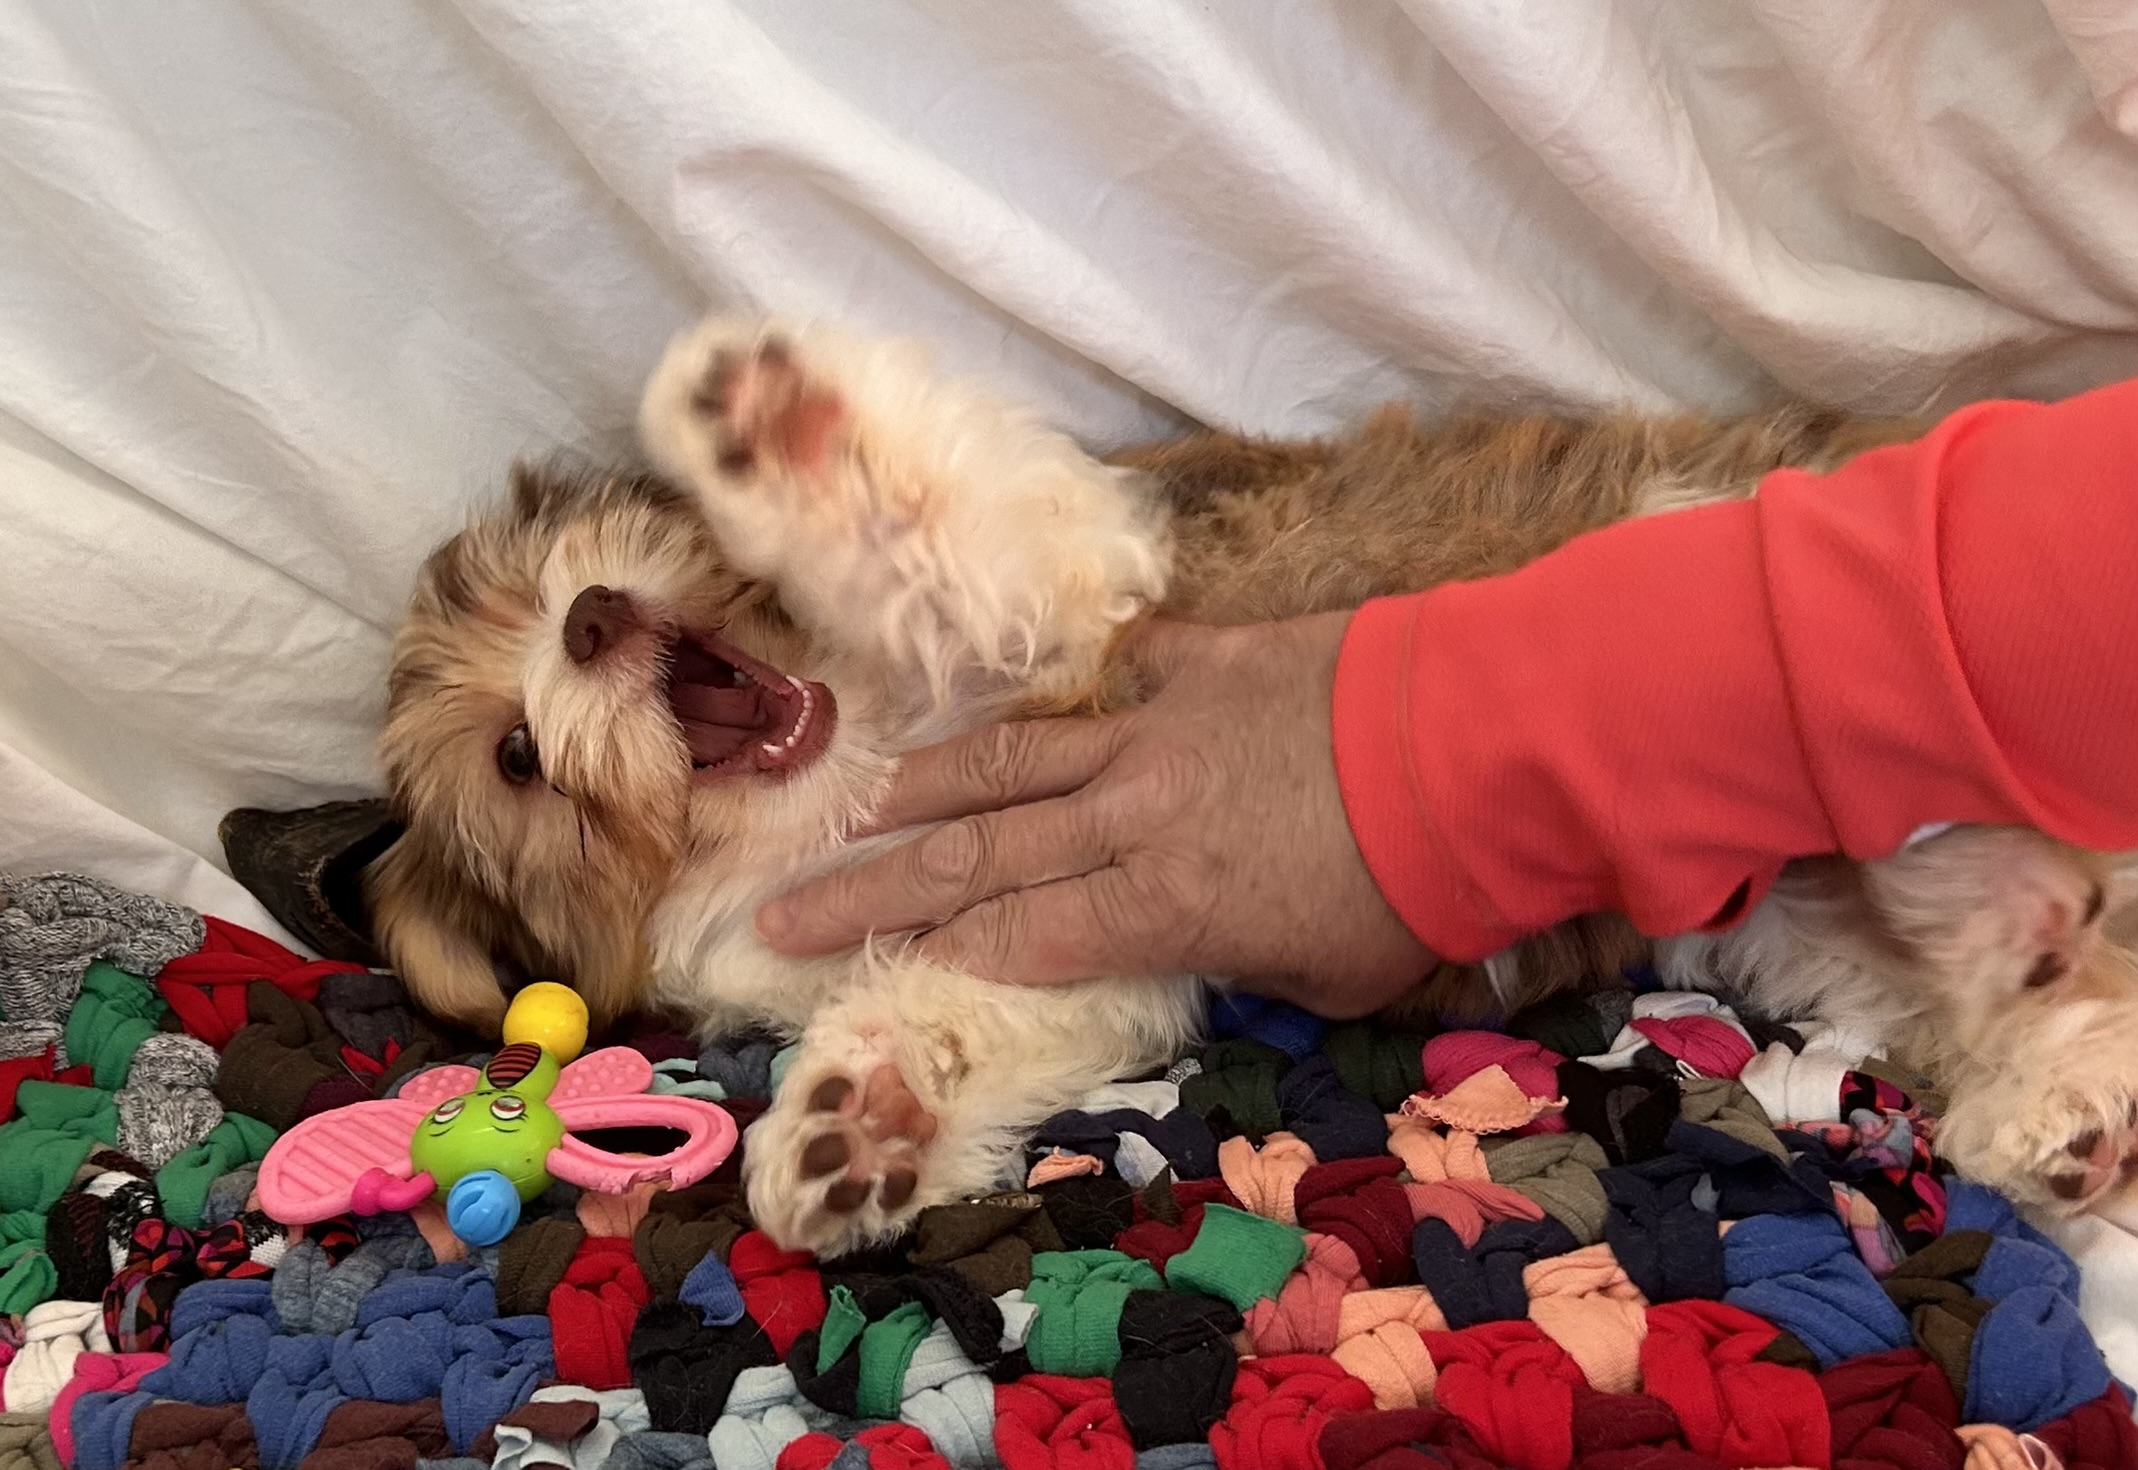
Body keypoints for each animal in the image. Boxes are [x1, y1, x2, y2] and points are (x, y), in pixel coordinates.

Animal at [376, 318, 2138, 1247]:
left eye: (576, 561)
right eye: (516, 757)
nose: (594, 620)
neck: (839, 769)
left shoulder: (1085, 607)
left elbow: (934, 532)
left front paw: (776, 421)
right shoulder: (1057, 927)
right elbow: (943, 1003)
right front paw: (856, 1117)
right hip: (1793, 919)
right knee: (2024, 977)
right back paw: (2045, 1075)